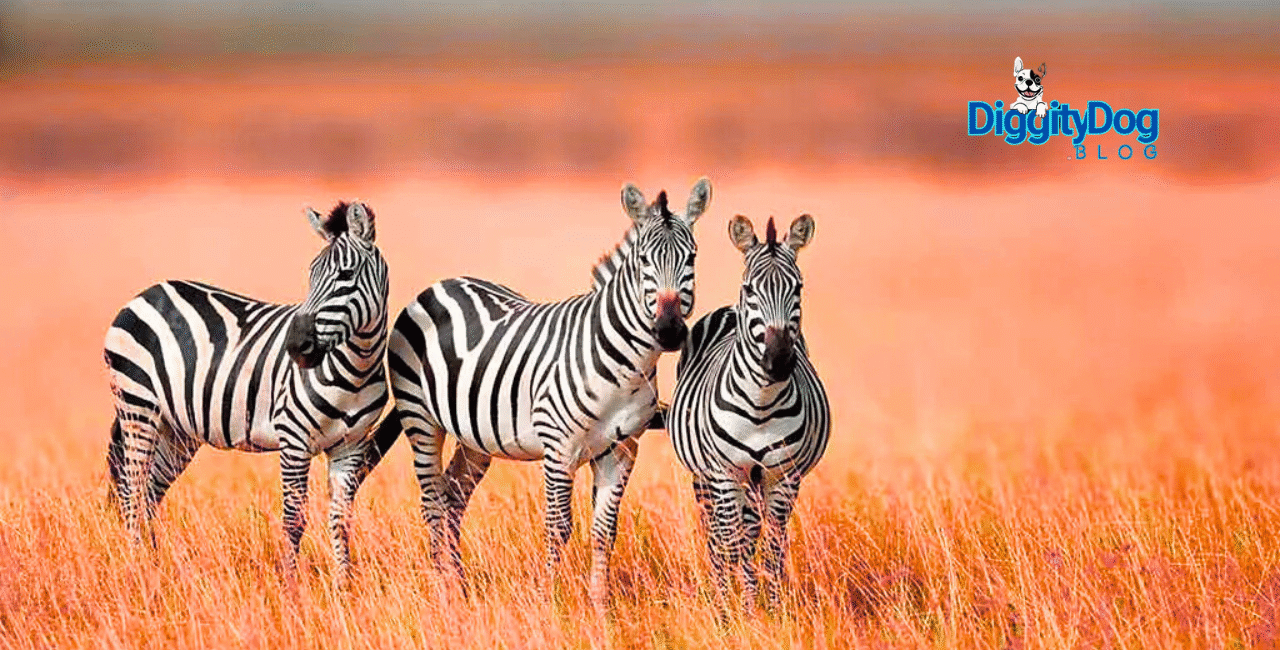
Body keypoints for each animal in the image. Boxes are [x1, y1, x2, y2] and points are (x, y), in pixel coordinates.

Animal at [103, 201, 392, 588]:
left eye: (346, 276)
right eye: (311, 275)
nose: (296, 346)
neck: (356, 368)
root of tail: (147, 293)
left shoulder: (351, 446)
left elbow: (341, 520)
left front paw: (343, 588)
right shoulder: (294, 439)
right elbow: (294, 520)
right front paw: (291, 588)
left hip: (176, 429)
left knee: (149, 494)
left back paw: (155, 568)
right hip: (138, 408)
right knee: (132, 492)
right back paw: (137, 570)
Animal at [379, 178, 711, 610]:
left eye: (692, 258)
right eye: (643, 260)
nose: (669, 331)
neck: (625, 365)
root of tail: (441, 284)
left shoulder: (622, 450)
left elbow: (606, 530)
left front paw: (599, 607)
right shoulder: (559, 448)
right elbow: (559, 527)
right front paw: (549, 601)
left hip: (475, 436)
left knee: (452, 497)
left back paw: (461, 588)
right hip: (420, 419)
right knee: (432, 503)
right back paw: (444, 592)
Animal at [667, 213, 829, 610]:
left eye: (798, 287)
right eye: (750, 288)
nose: (779, 361)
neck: (761, 403)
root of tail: (728, 308)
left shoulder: (783, 477)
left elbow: (771, 547)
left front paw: (770, 608)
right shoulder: (724, 473)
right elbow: (732, 543)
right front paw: (736, 610)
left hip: (757, 481)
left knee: (756, 532)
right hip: (706, 478)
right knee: (716, 535)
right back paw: (720, 592)